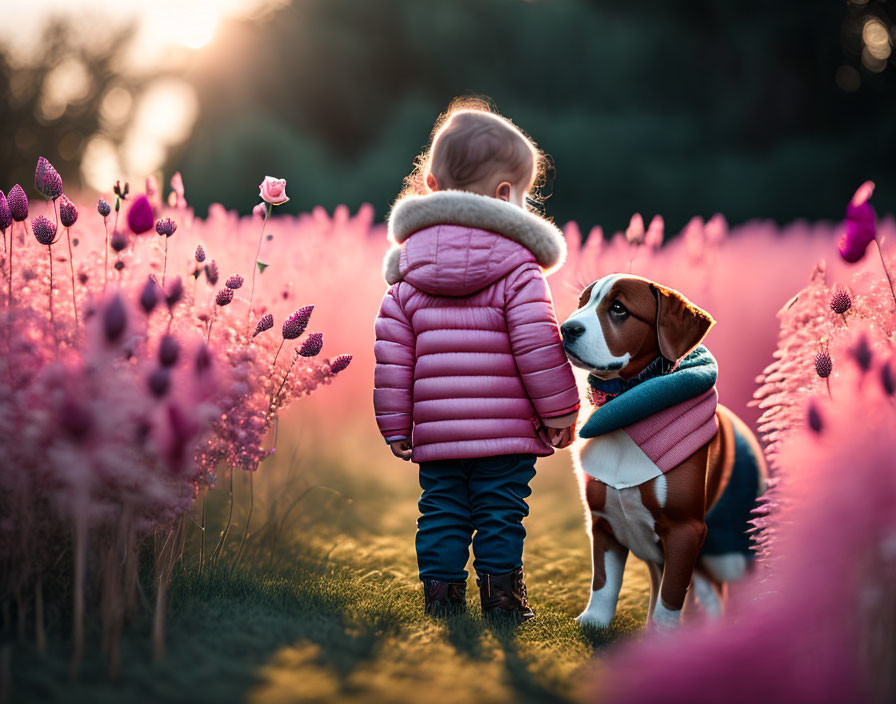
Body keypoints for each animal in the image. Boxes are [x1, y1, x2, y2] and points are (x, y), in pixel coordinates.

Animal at [564, 272, 768, 628]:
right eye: (582, 303)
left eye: (618, 308)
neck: (625, 406)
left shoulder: (686, 531)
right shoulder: (603, 522)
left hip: (733, 554)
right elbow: (603, 583)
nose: (566, 328)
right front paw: (593, 621)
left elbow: (669, 602)